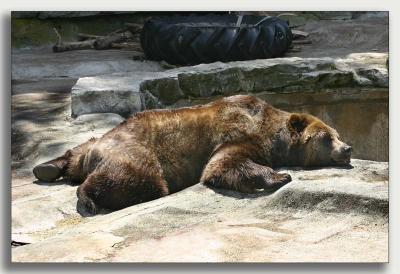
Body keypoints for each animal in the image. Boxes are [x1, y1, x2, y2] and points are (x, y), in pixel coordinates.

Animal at [32, 95, 350, 215]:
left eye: (337, 133)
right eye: (327, 137)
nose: (347, 149)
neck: (271, 133)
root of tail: (97, 152)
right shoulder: (237, 132)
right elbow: (223, 165)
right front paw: (280, 176)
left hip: (96, 144)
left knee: (78, 150)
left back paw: (46, 168)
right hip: (133, 151)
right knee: (141, 180)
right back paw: (89, 197)